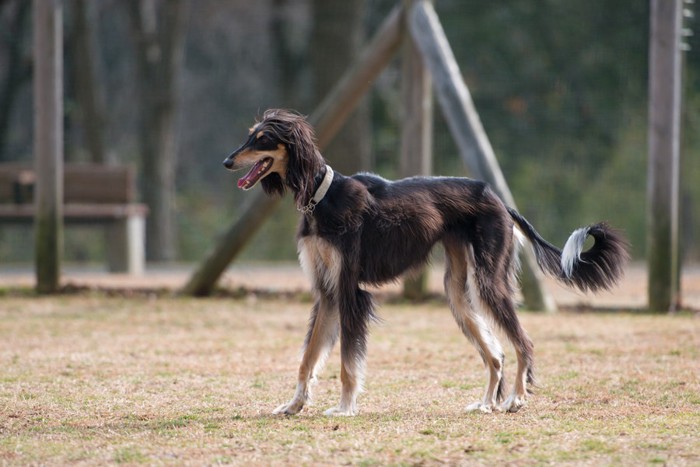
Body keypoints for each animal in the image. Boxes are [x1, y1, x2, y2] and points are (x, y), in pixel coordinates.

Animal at [224, 109, 628, 416]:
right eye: (249, 136)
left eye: (262, 138)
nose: (227, 161)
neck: (322, 197)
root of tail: (498, 198)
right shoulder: (326, 292)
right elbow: (308, 358)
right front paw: (294, 405)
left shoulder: (349, 289)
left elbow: (346, 362)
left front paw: (344, 408)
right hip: (457, 290)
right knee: (495, 354)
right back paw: (485, 403)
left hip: (488, 282)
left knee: (522, 343)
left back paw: (515, 399)